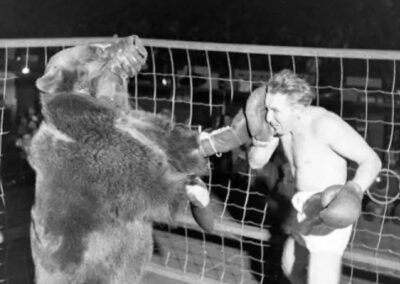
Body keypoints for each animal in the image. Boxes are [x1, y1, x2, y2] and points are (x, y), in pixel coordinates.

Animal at [29, 36, 211, 284]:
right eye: (97, 50)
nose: (135, 41)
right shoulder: (106, 162)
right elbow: (156, 187)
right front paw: (187, 186)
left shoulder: (133, 122)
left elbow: (160, 131)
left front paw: (195, 145)